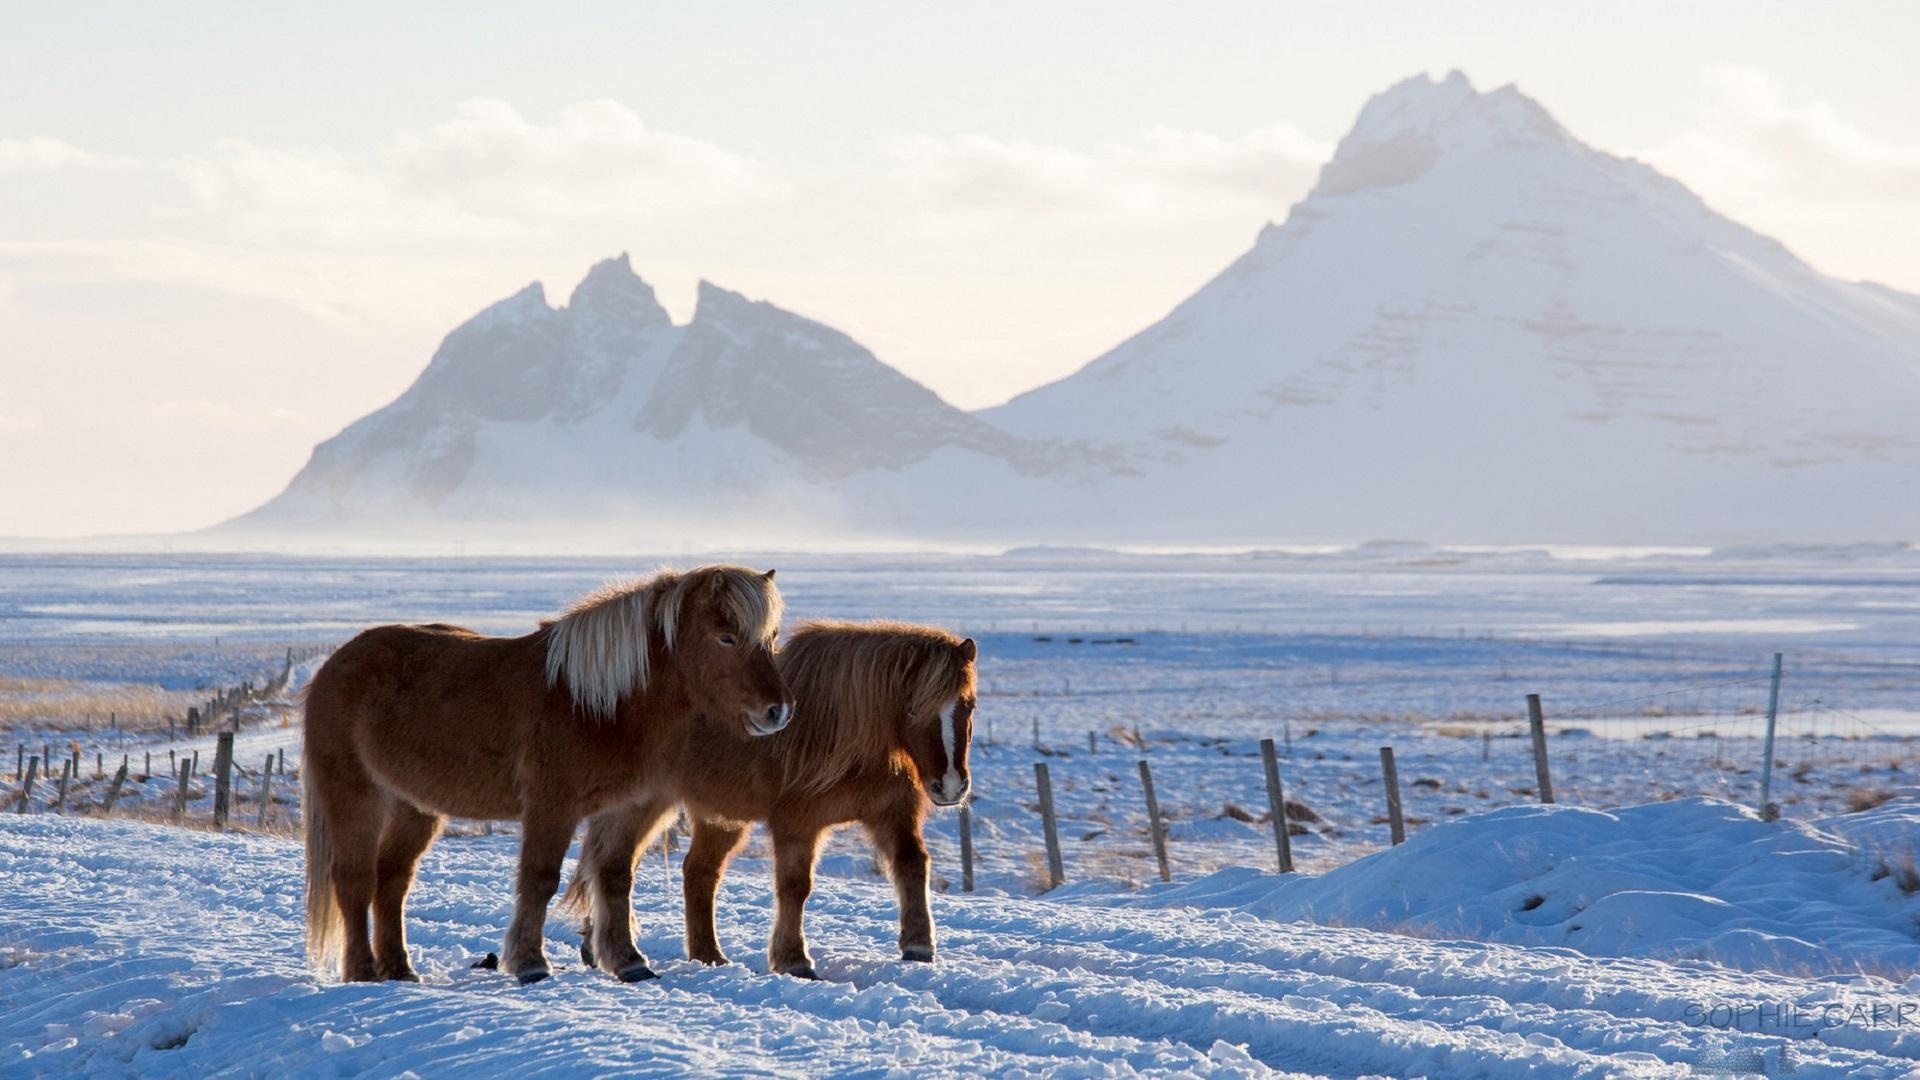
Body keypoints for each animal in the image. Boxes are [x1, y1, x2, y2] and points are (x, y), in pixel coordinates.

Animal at [297, 568, 787, 980]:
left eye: (772, 636)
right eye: (726, 637)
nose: (778, 711)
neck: (594, 705)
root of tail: (333, 665)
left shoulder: (626, 810)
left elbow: (614, 876)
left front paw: (628, 961)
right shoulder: (552, 808)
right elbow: (540, 878)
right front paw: (530, 962)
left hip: (414, 806)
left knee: (392, 879)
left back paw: (398, 969)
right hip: (355, 795)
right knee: (355, 879)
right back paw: (362, 971)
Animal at [560, 614, 967, 976]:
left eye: (967, 705)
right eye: (913, 708)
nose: (950, 785)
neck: (847, 732)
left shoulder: (891, 811)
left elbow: (912, 864)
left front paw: (919, 946)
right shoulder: (797, 824)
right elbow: (795, 886)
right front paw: (794, 960)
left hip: (718, 819)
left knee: (697, 873)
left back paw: (704, 955)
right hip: (641, 806)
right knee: (612, 865)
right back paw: (622, 957)